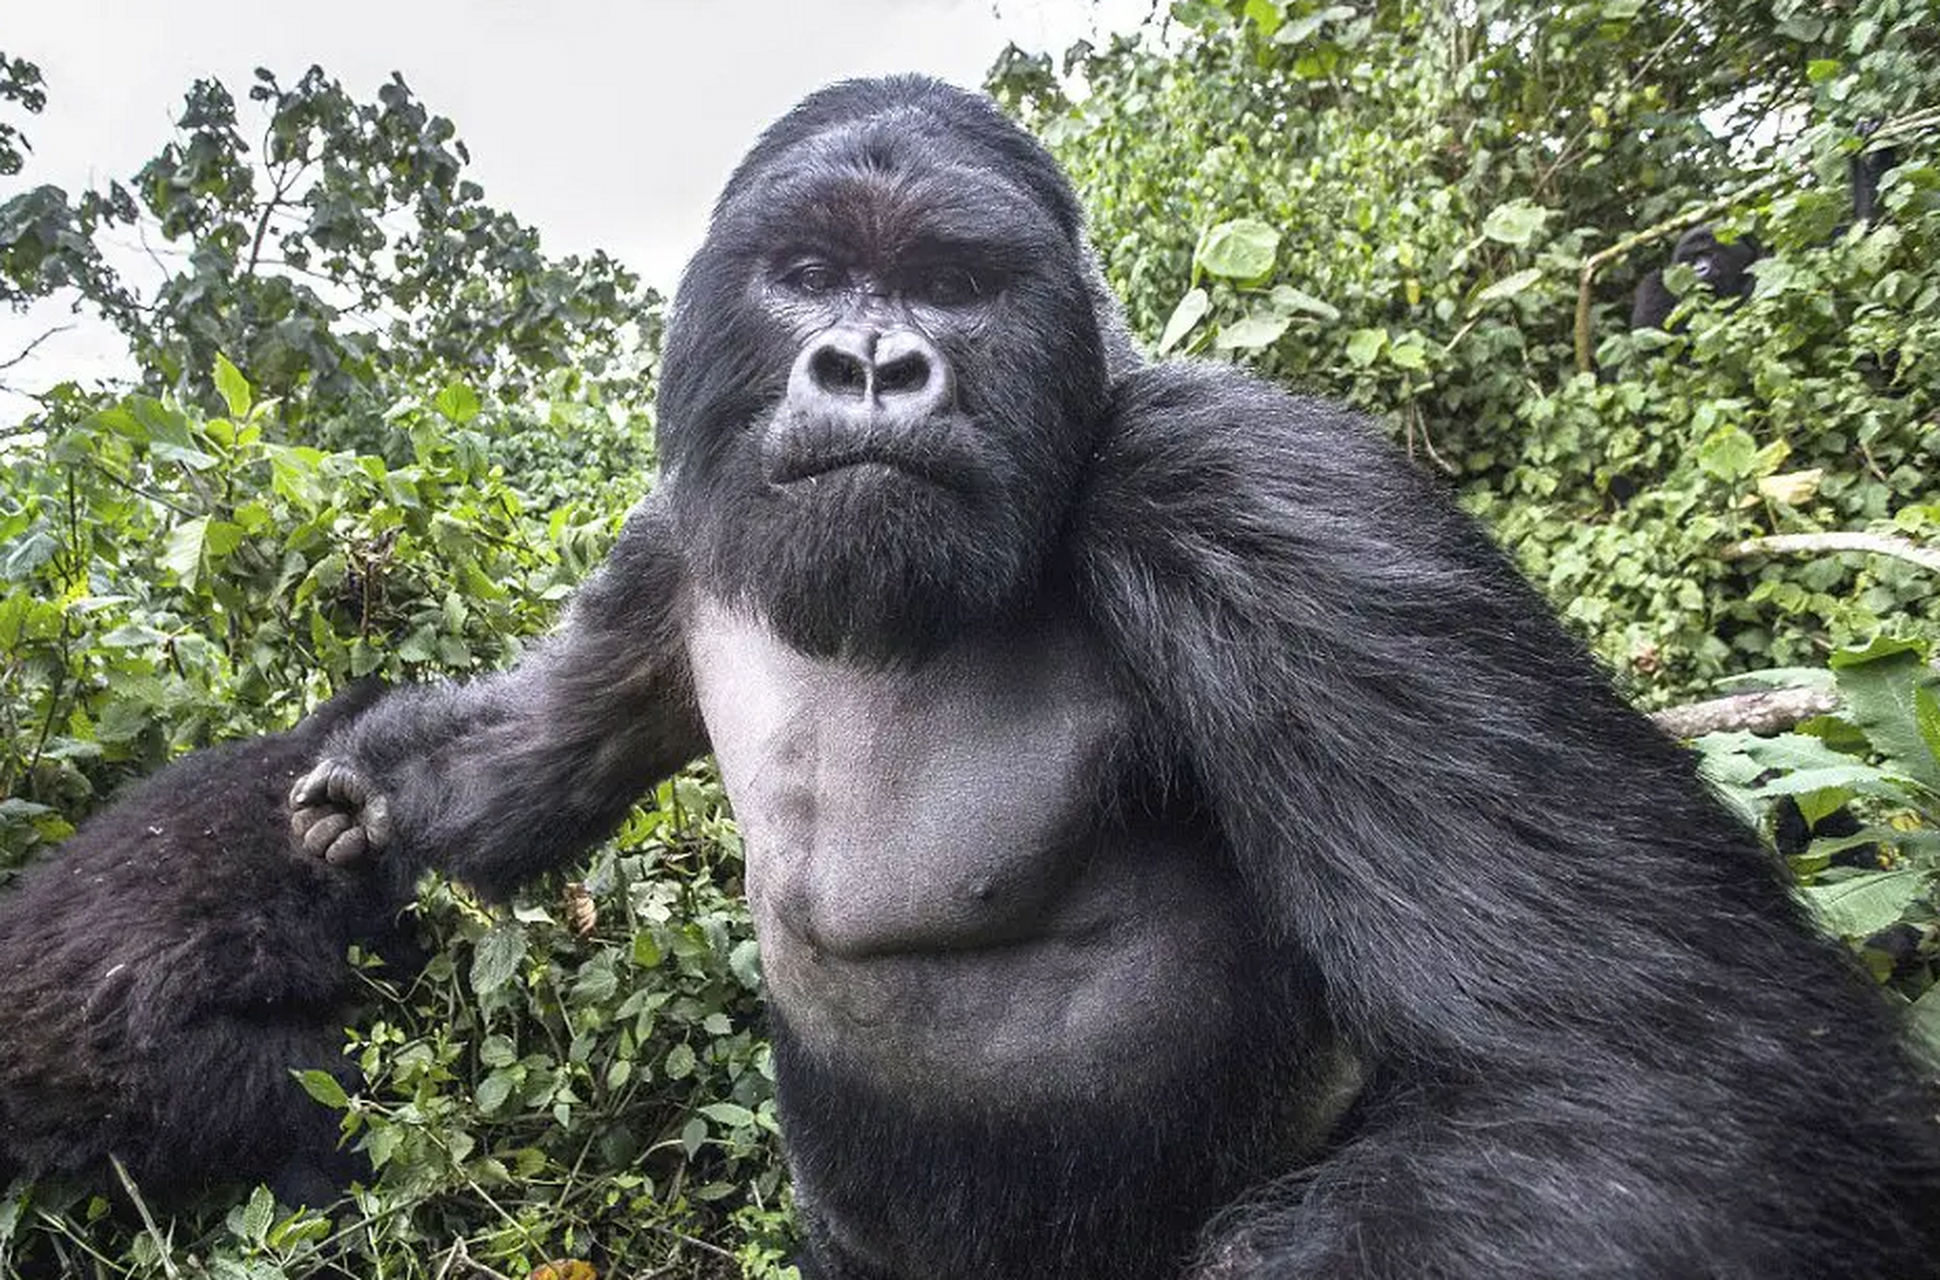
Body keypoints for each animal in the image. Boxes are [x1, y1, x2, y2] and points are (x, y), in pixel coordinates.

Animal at [287, 80, 1940, 1280]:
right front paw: (374, 799)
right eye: (810, 274)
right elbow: (550, 744)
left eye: (955, 283)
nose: (871, 366)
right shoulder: (674, 528)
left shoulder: (1256, 492)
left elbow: (1653, 1076)